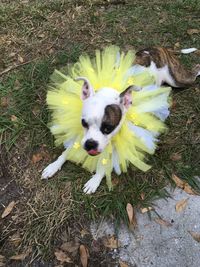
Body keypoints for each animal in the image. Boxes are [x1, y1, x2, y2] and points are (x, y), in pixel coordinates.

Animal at [41, 46, 199, 195]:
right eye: (84, 123)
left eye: (108, 128)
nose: (90, 144)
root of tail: (159, 48)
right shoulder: (81, 135)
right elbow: (67, 151)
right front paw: (53, 166)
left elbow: (104, 165)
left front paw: (94, 181)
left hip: (177, 79)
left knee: (194, 74)